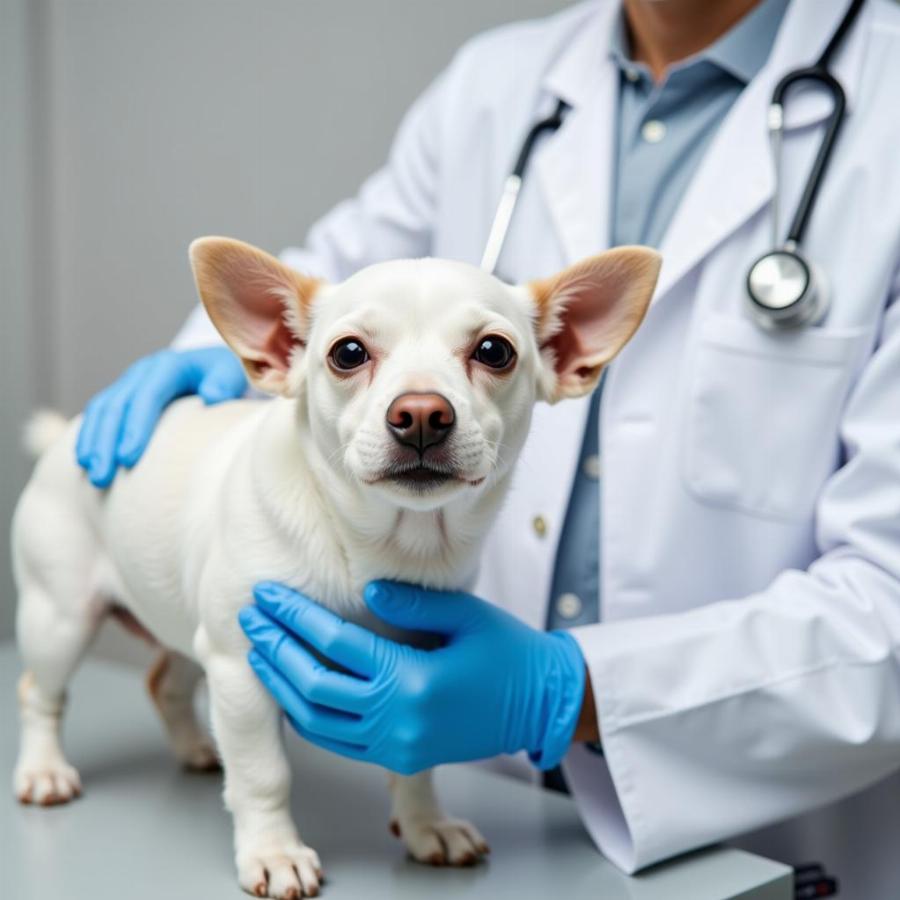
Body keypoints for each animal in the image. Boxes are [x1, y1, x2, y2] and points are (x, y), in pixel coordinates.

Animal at [10, 239, 656, 900]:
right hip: (62, 620)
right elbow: (264, 773)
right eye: (348, 353)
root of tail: (67, 436)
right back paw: (44, 771)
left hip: (189, 629)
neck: (385, 545)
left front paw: (426, 824)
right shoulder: (241, 669)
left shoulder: (421, 681)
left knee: (164, 682)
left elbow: (417, 757)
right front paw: (273, 852)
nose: (420, 412)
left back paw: (196, 748)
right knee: (40, 691)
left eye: (493, 351)